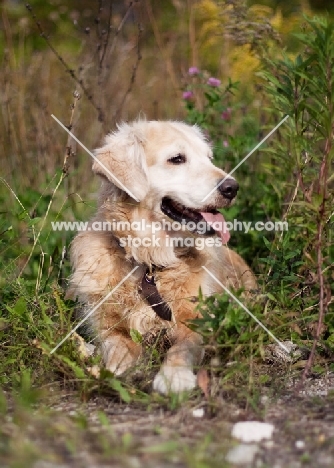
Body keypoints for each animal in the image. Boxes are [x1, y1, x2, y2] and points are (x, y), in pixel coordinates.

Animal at [68, 120, 256, 394]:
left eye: (208, 158)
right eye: (177, 159)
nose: (232, 188)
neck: (149, 262)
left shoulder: (196, 319)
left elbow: (183, 347)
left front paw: (174, 376)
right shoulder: (106, 324)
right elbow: (117, 345)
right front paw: (115, 369)